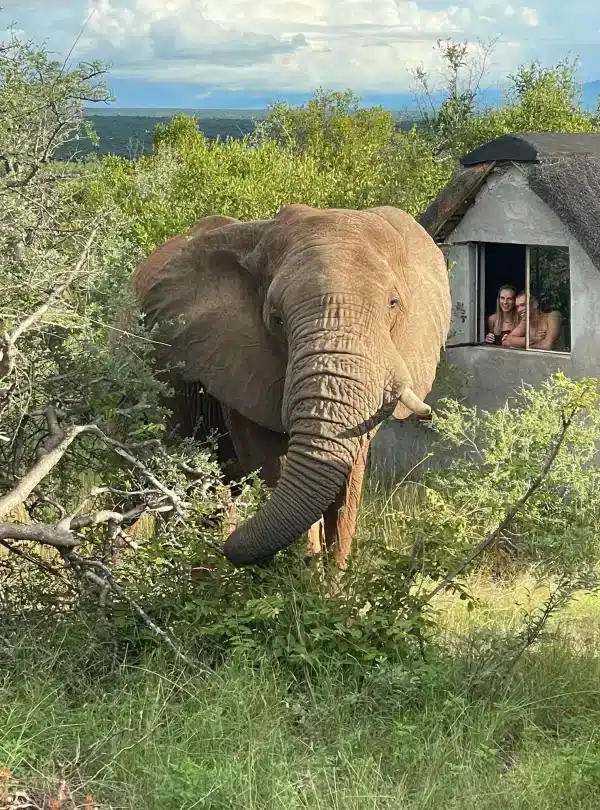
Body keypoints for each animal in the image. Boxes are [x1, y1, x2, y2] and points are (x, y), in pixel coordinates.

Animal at [130, 203, 451, 568]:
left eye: (393, 303)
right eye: (276, 318)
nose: (227, 549)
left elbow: (349, 480)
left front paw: (330, 580)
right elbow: (275, 463)